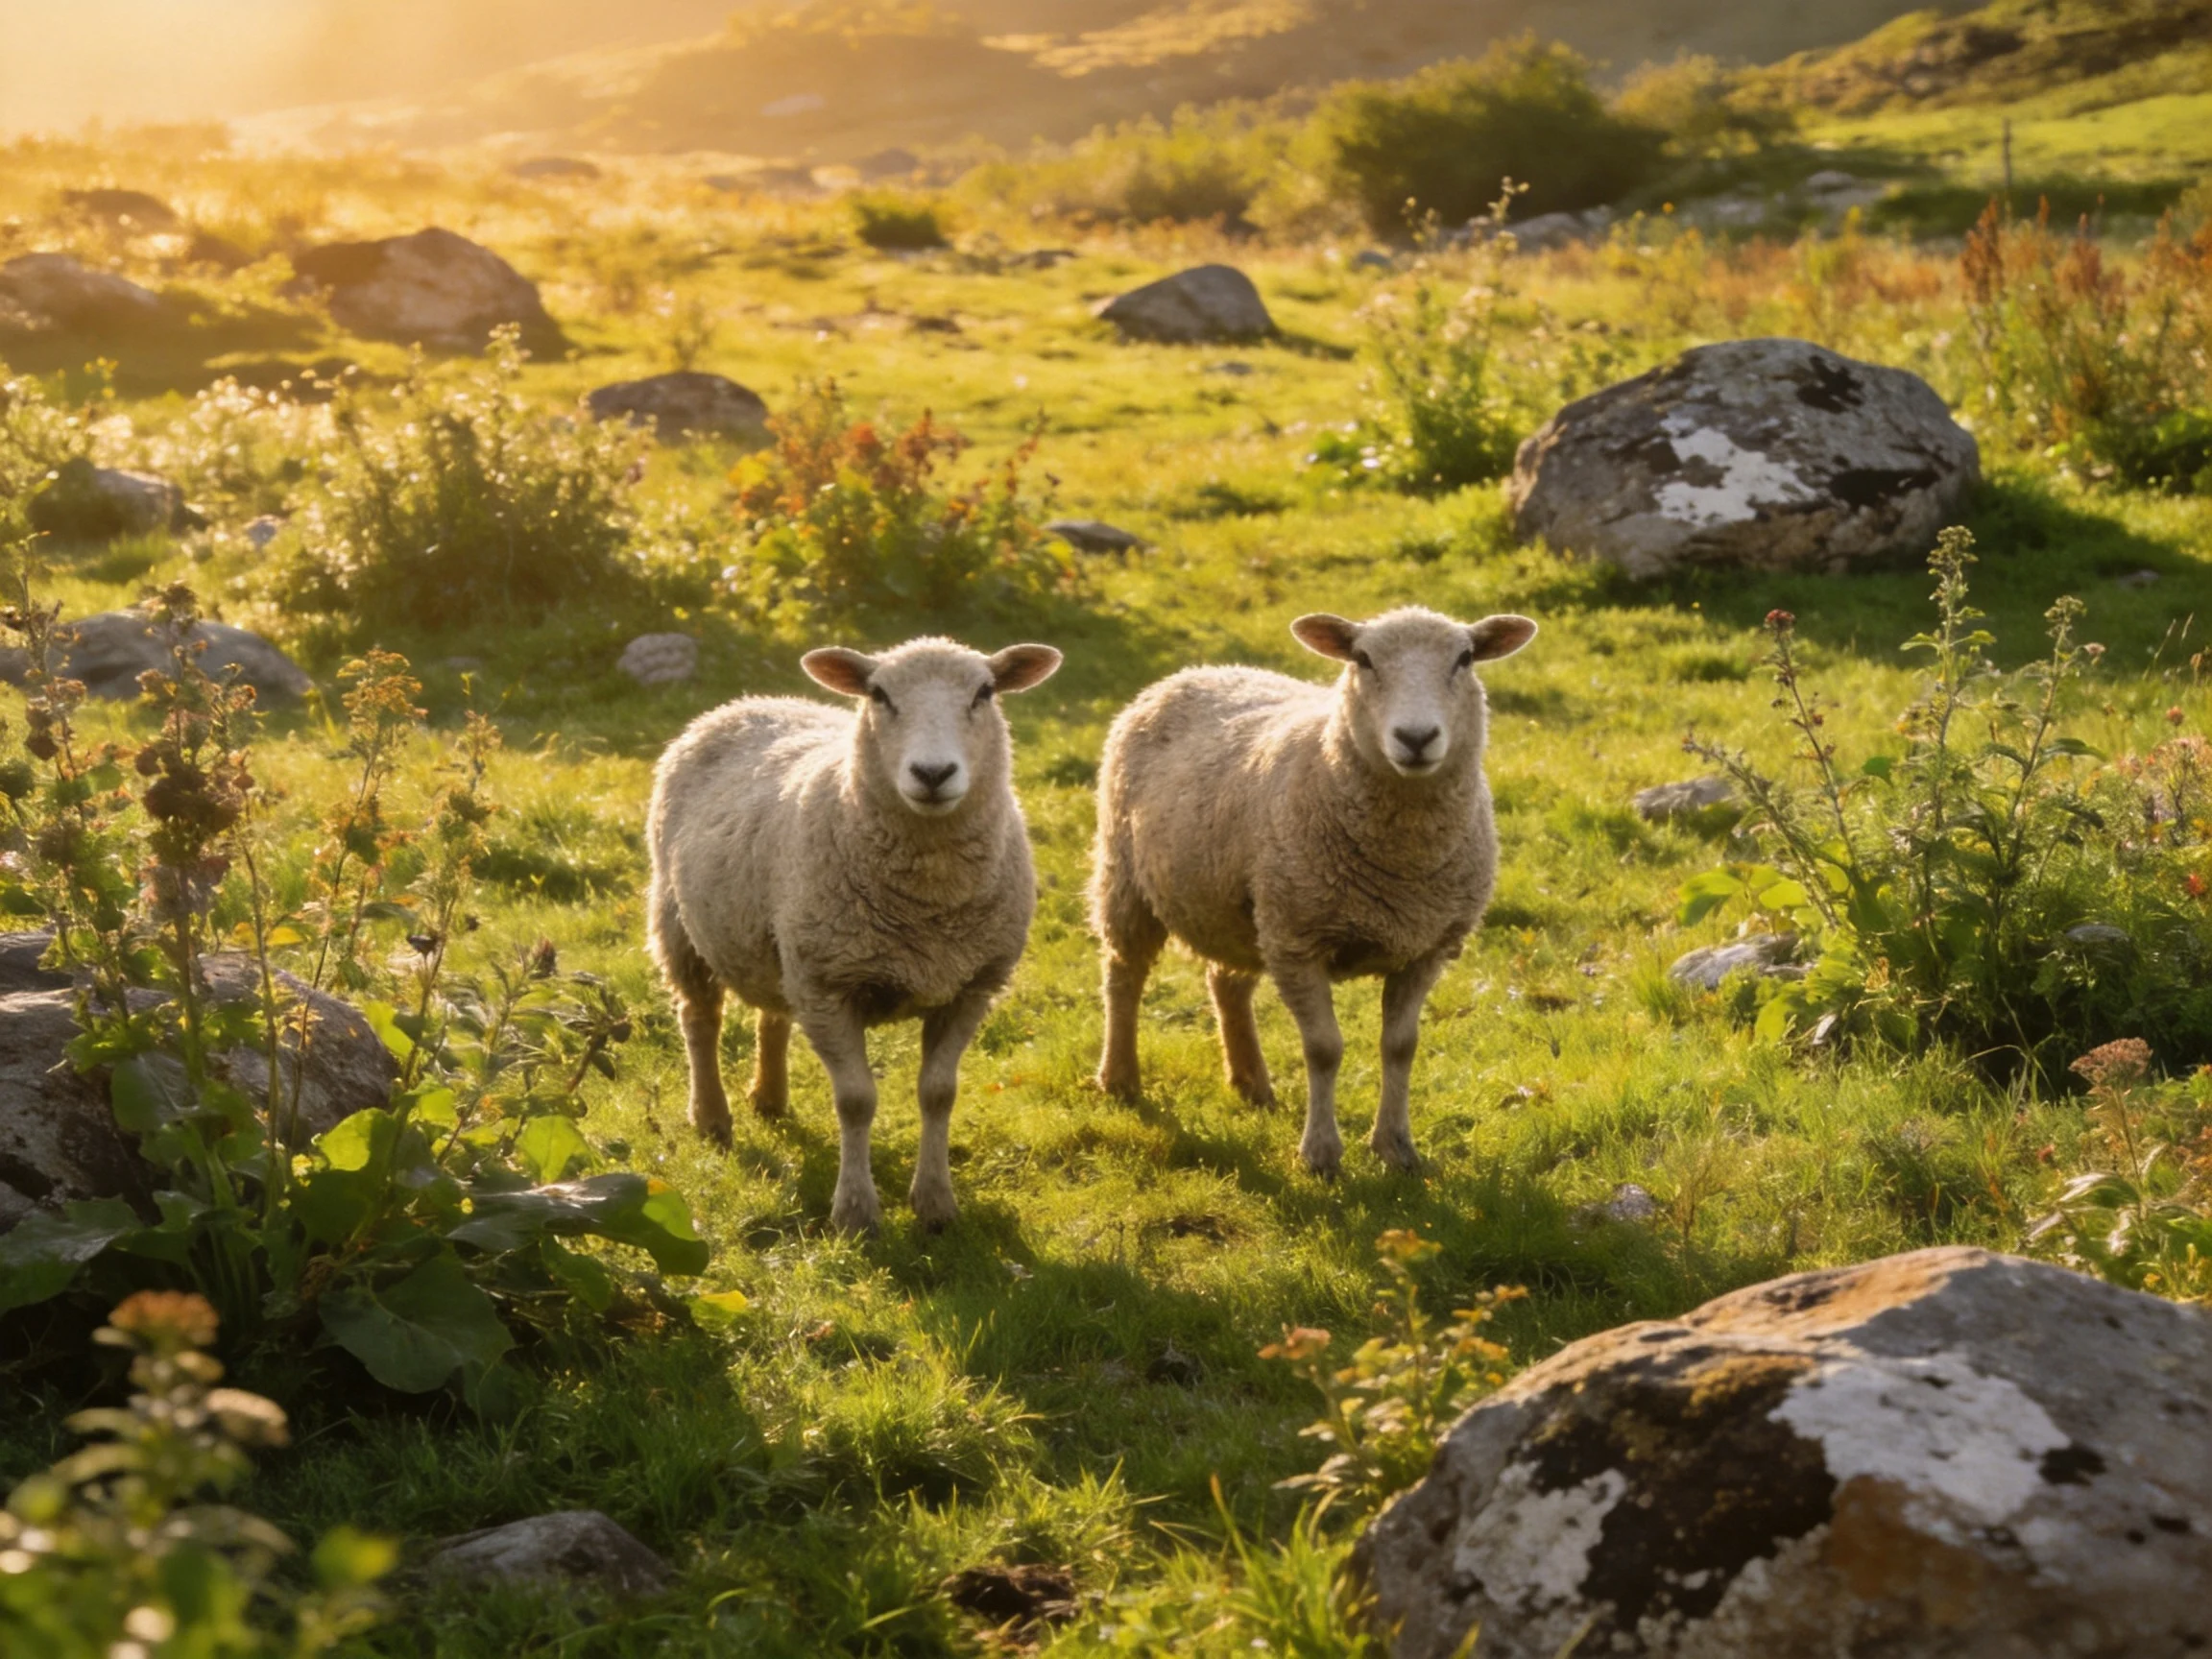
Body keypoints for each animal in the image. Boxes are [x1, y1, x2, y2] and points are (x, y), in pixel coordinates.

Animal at [648, 636, 1063, 1232]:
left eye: (984, 692)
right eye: (879, 694)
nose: (932, 773)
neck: (930, 903)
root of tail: (749, 701)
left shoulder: (971, 986)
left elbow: (939, 1093)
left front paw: (936, 1204)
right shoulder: (830, 987)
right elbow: (856, 1101)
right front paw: (855, 1212)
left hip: (783, 940)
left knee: (772, 1012)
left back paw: (769, 1098)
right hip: (679, 924)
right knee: (700, 1020)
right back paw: (711, 1118)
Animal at [1089, 605, 1536, 1175]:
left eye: (1465, 658)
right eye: (1363, 659)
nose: (1416, 737)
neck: (1403, 859)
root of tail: (1197, 671)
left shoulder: (1427, 947)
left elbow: (1401, 1046)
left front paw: (1396, 1148)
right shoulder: (1299, 940)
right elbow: (1324, 1049)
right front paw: (1321, 1154)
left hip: (1243, 909)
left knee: (1226, 983)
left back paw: (1252, 1084)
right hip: (1127, 876)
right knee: (1123, 975)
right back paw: (1120, 1079)